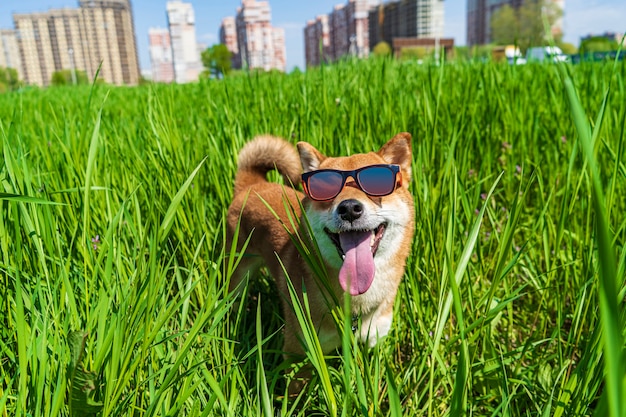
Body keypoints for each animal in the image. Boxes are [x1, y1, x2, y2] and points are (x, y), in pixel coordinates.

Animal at [225, 132, 414, 384]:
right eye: (325, 188)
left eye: (376, 184)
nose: (349, 208)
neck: (354, 307)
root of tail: (252, 185)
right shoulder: (299, 354)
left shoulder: (373, 341)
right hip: (237, 276)